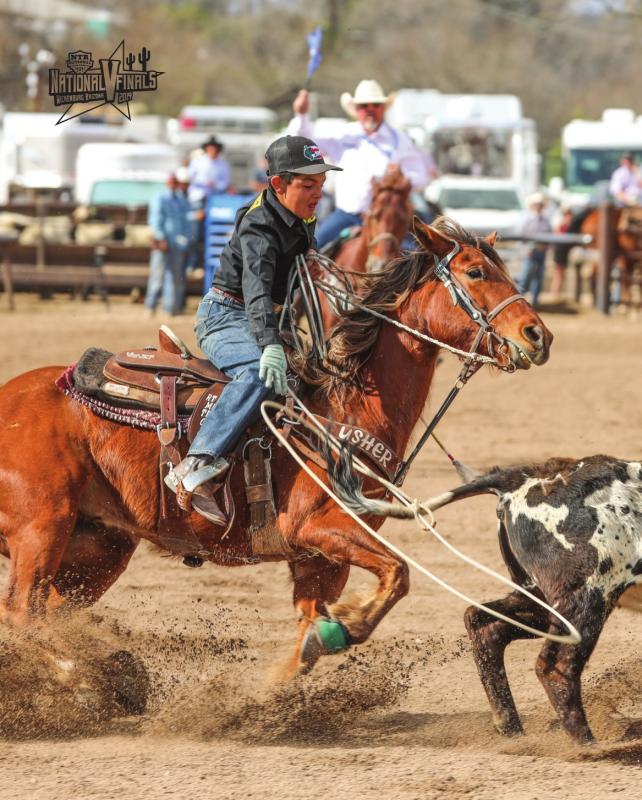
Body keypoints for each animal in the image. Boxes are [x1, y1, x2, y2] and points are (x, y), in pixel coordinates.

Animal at [0, 220, 552, 680]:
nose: (538, 334)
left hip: (99, 547)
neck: (342, 406)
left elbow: (312, 628)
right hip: (43, 526)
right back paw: (86, 678)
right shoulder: (316, 527)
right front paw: (347, 626)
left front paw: (273, 694)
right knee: (23, 613)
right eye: (476, 271)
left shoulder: (320, 560)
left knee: (46, 611)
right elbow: (399, 574)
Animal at [330, 454, 640, 740]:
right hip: (583, 598)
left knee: (484, 626)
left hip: (540, 599)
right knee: (554, 667)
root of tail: (524, 478)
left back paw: (510, 726)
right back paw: (588, 745)